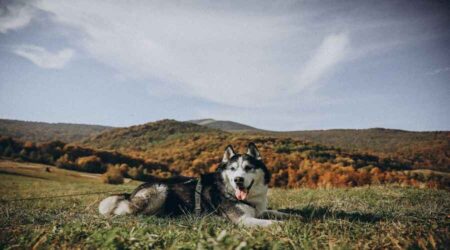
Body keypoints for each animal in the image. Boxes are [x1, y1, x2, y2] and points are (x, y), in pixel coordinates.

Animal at [98, 143, 296, 227]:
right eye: (233, 169)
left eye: (248, 168)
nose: (238, 180)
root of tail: (131, 193)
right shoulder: (243, 219)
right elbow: (271, 222)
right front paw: (286, 225)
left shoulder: (259, 210)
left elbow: (276, 212)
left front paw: (295, 217)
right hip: (160, 189)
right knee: (126, 210)